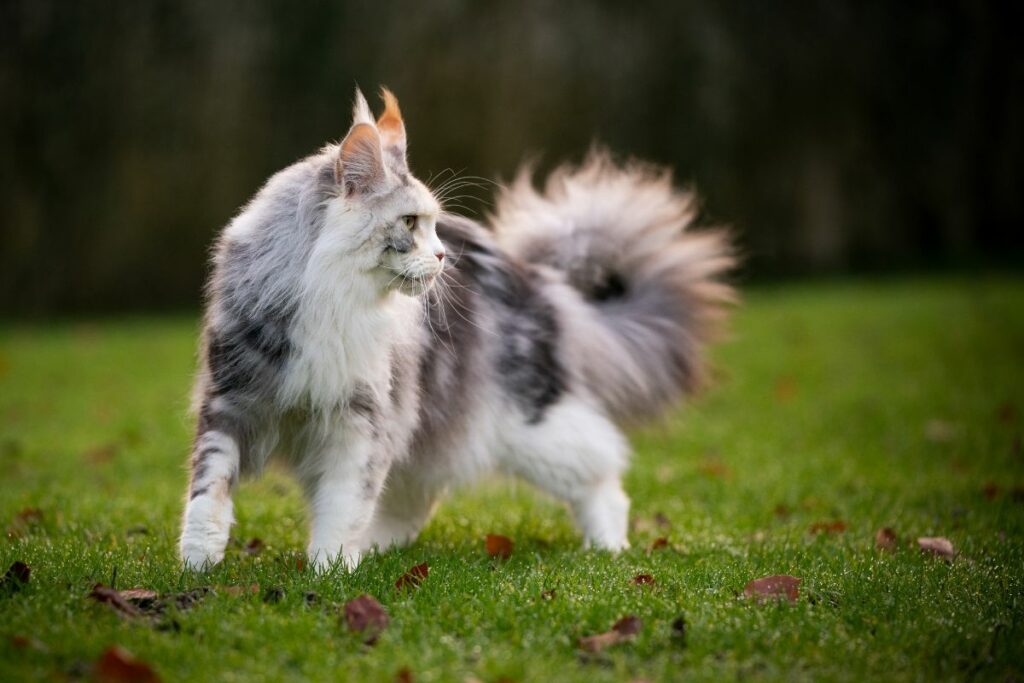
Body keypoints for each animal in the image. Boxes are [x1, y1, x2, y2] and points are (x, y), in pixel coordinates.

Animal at [178, 89, 737, 573]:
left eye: (432, 224)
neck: (332, 299)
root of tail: (537, 279)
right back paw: (379, 549)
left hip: (531, 426)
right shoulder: (231, 403)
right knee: (413, 499)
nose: (444, 255)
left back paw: (608, 548)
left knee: (603, 474)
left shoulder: (359, 422)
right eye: (410, 222)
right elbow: (209, 493)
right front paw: (198, 564)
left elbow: (341, 504)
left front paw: (328, 571)